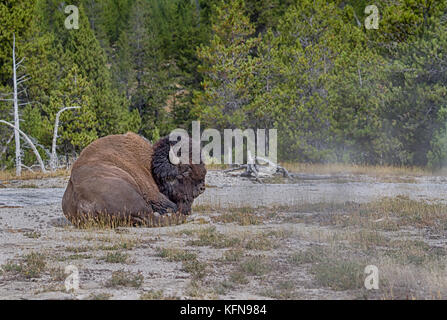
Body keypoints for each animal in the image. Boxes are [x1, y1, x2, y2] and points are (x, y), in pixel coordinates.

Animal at [62, 132, 207, 225]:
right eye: (186, 169)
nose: (201, 188)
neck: (151, 165)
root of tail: (81, 204)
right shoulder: (153, 194)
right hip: (133, 197)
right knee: (155, 218)